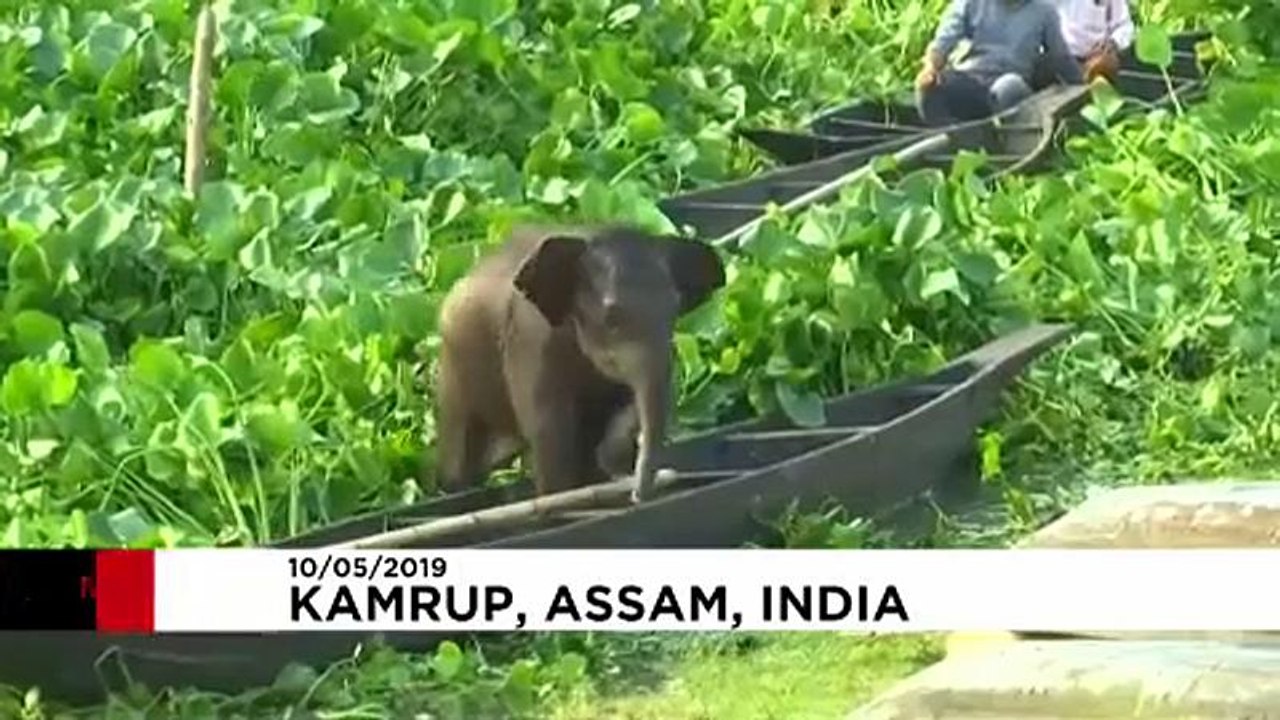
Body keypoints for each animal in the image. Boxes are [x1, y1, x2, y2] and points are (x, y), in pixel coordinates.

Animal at [432, 223, 726, 504]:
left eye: (675, 311)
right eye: (611, 317)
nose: (637, 496)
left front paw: (608, 461)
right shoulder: (532, 341)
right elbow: (549, 429)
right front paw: (559, 496)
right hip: (453, 371)